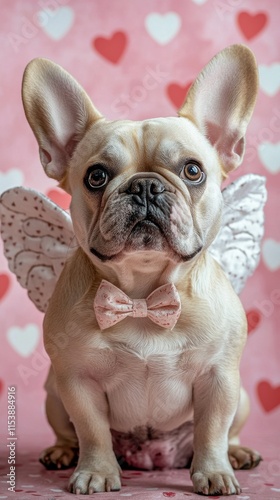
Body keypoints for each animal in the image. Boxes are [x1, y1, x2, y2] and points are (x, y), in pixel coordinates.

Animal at [21, 44, 262, 496]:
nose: (145, 185)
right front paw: (97, 471)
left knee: (229, 431)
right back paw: (62, 452)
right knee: (69, 432)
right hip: (51, 393)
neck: (143, 294)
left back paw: (239, 453)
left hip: (241, 397)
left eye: (193, 170)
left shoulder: (220, 380)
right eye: (96, 176)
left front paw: (215, 472)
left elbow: (212, 432)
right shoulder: (76, 382)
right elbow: (92, 431)